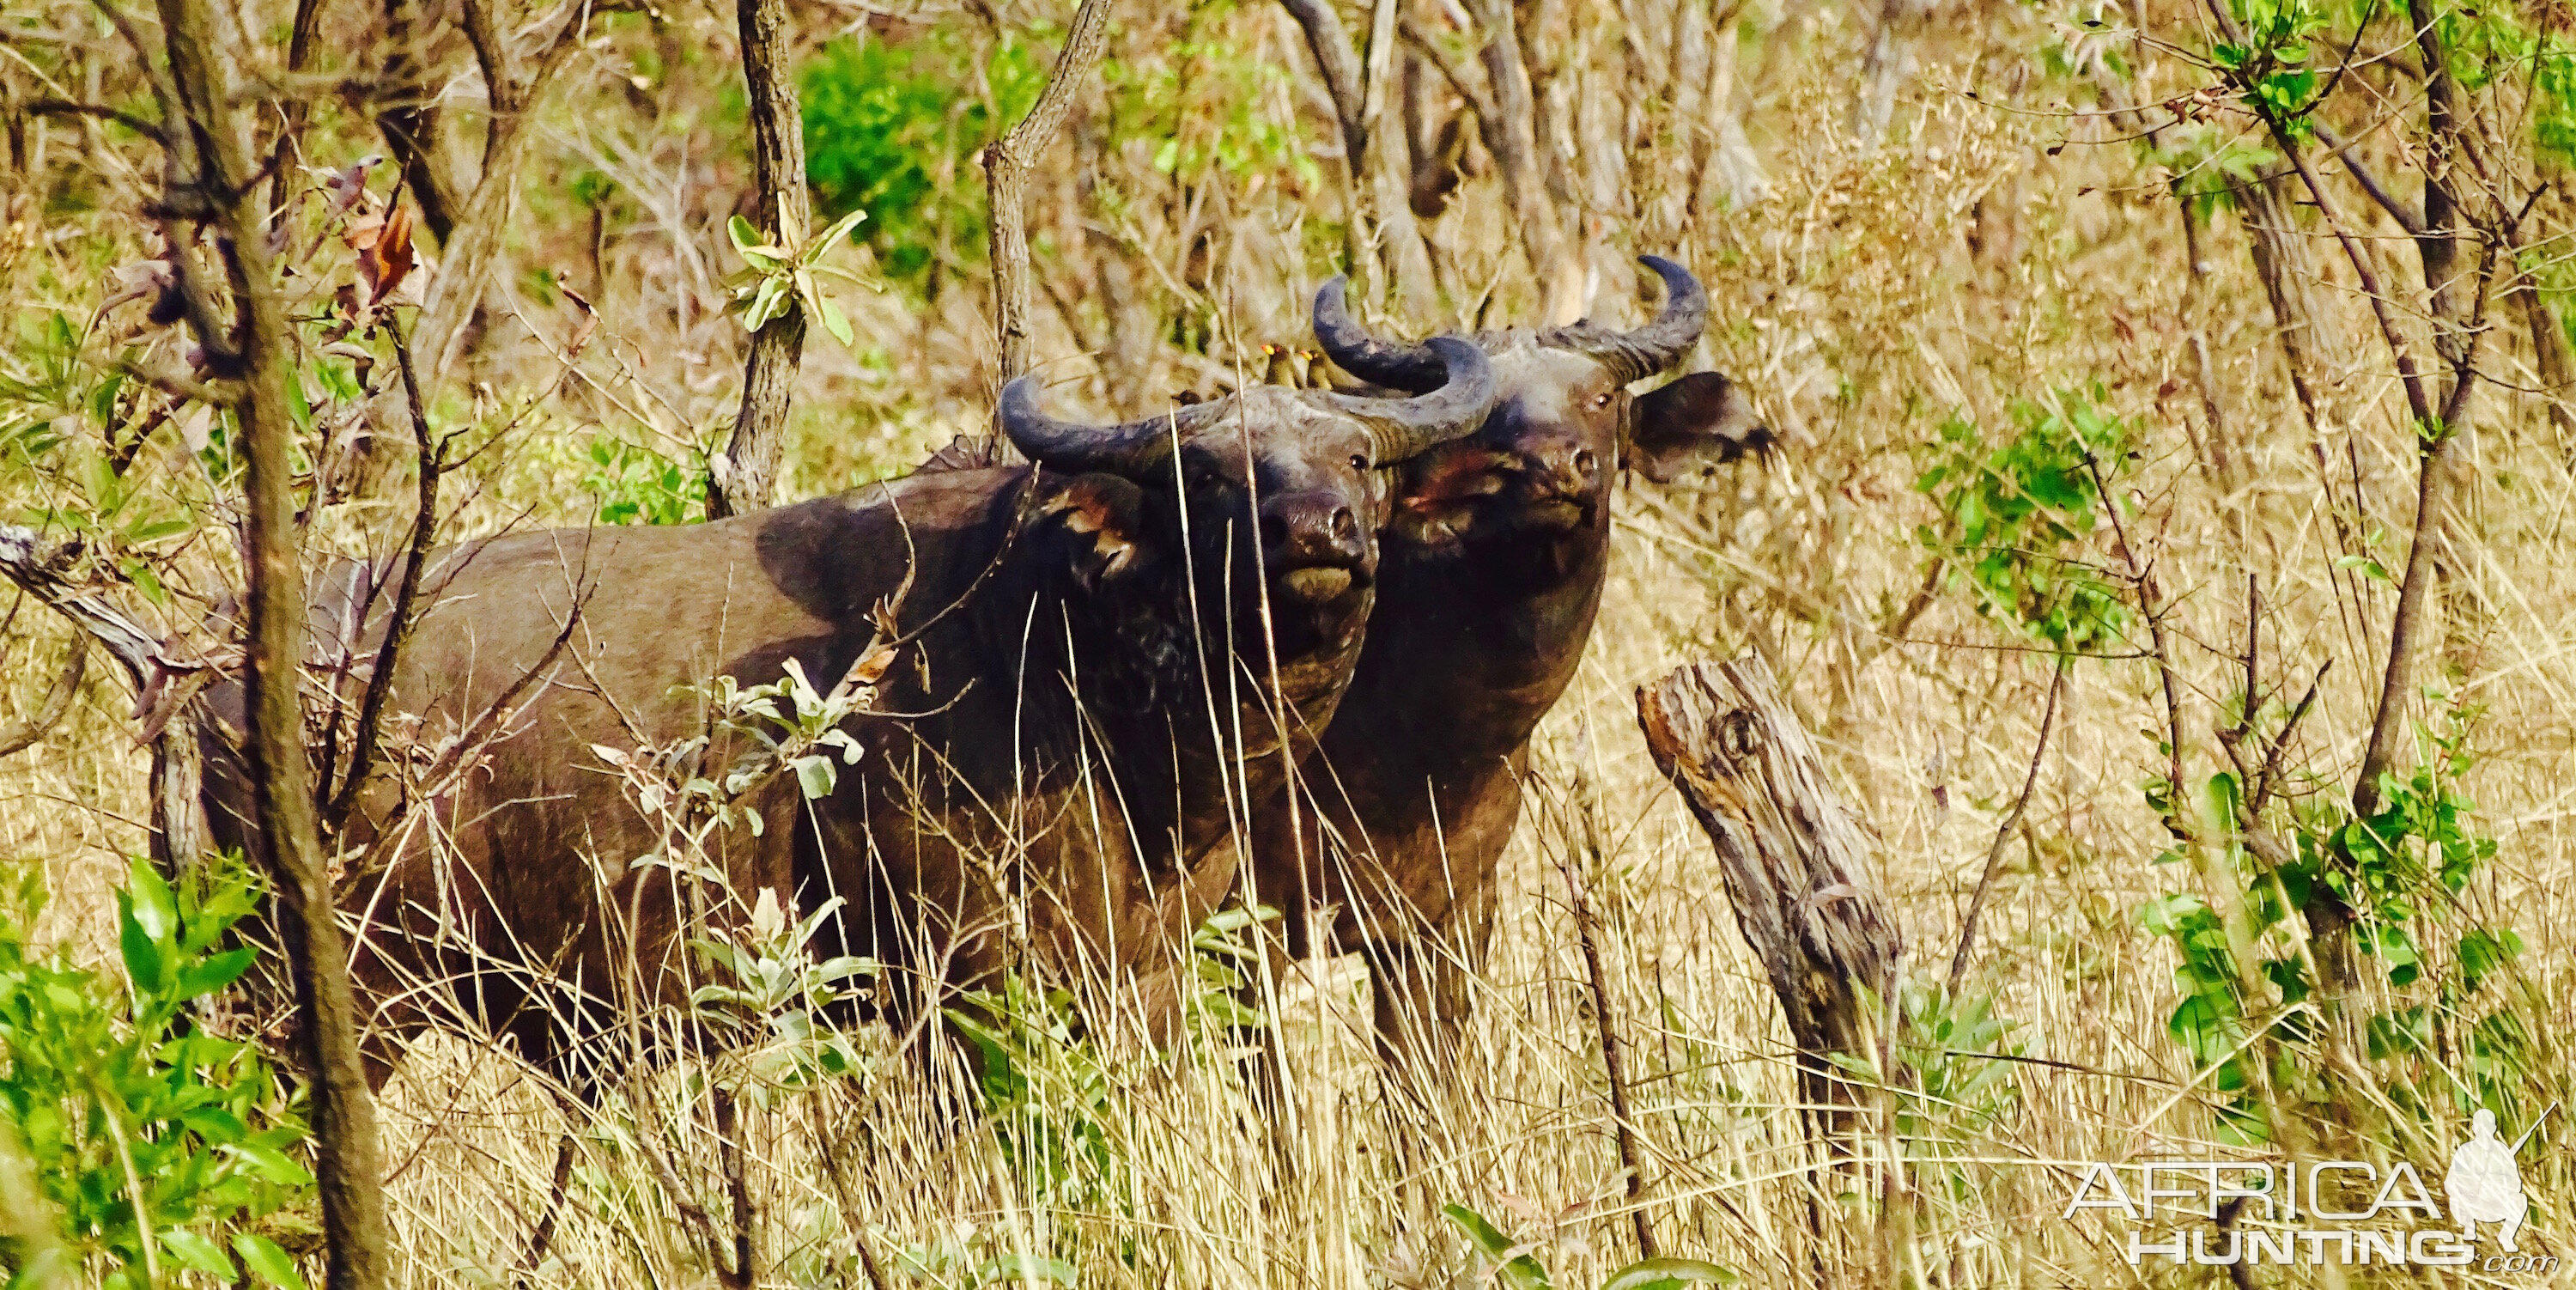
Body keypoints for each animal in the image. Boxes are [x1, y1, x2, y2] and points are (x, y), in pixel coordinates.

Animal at [206, 337, 1504, 1081]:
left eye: (1359, 461)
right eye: (1209, 476)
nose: (1319, 534)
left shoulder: (1144, 971)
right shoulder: (963, 985)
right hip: (328, 1003)